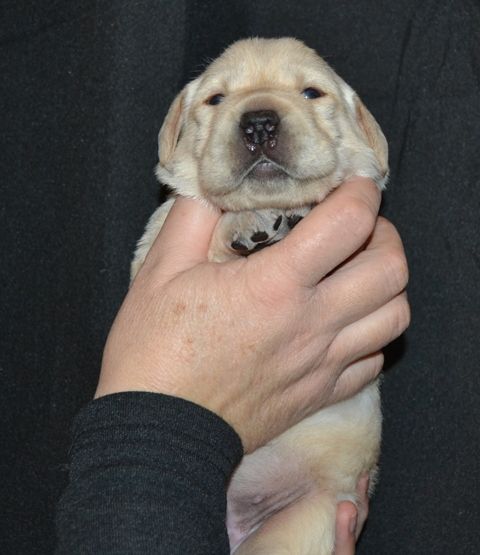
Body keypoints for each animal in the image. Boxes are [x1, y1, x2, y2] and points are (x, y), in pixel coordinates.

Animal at [133, 38, 388, 555]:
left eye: (312, 93)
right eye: (215, 99)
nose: (259, 122)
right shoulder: (153, 247)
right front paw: (247, 224)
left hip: (301, 523)